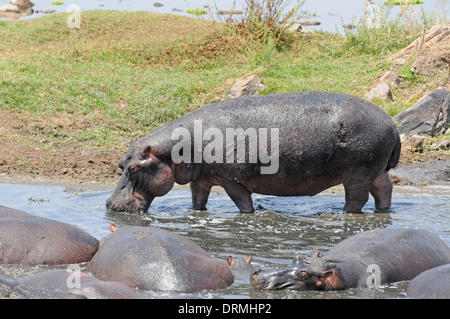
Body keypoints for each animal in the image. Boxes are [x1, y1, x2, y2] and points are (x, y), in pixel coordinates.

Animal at [106, 91, 400, 214]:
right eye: (120, 163)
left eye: (134, 168)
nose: (109, 204)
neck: (173, 149)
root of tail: (391, 122)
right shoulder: (201, 178)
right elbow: (197, 200)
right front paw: (195, 212)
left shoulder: (231, 180)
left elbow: (243, 203)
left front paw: (247, 215)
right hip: (376, 171)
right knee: (384, 190)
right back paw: (383, 211)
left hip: (358, 175)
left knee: (357, 199)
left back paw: (342, 214)